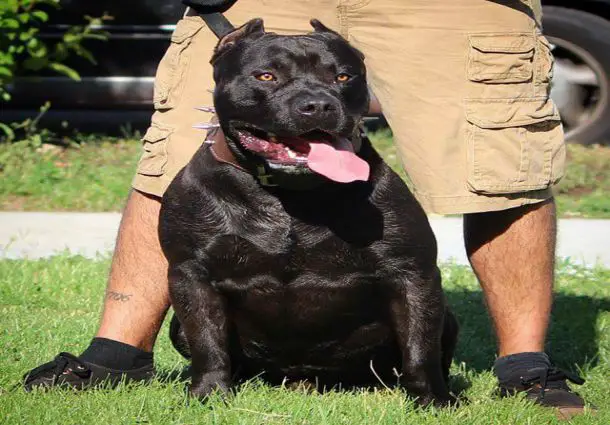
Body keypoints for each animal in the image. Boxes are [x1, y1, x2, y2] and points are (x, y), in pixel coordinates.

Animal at [159, 18, 454, 406]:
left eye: (343, 76)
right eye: (266, 76)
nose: (318, 105)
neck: (289, 195)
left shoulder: (411, 272)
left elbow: (420, 346)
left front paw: (433, 400)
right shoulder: (193, 274)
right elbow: (207, 343)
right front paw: (209, 395)